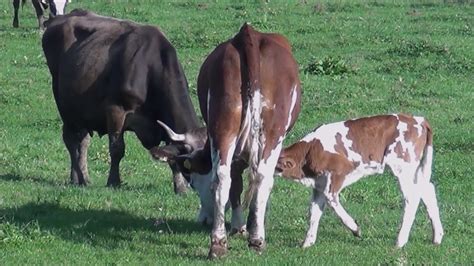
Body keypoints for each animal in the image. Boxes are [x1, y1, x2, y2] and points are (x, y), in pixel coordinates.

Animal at [42, 8, 200, 191]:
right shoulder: (115, 109)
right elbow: (117, 148)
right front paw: (114, 181)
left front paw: (180, 187)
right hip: (65, 105)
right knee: (70, 139)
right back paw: (78, 178)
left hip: (83, 110)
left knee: (83, 140)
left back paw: (83, 177)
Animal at [152, 23, 302, 258]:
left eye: (193, 182)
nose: (203, 219)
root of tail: (248, 35)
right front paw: (246, 225)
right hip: (272, 133)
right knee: (261, 177)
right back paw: (256, 239)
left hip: (223, 125)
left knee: (222, 178)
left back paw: (218, 243)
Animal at [276, 113, 442, 248]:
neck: (311, 150)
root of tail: (418, 119)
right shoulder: (319, 184)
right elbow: (314, 212)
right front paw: (307, 243)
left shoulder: (339, 172)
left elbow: (332, 201)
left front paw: (355, 229)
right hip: (414, 170)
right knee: (427, 190)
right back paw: (437, 237)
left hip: (403, 167)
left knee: (412, 198)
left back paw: (400, 242)